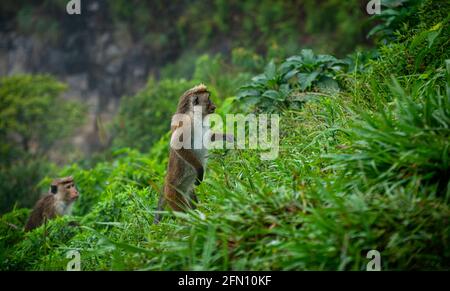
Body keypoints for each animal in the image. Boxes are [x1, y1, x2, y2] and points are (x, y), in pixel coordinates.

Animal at [155, 84, 232, 224]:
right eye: (208, 99)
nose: (214, 106)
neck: (195, 115)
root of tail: (166, 183)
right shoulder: (186, 122)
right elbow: (177, 144)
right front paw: (199, 169)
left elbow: (208, 136)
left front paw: (227, 137)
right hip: (173, 195)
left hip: (186, 190)